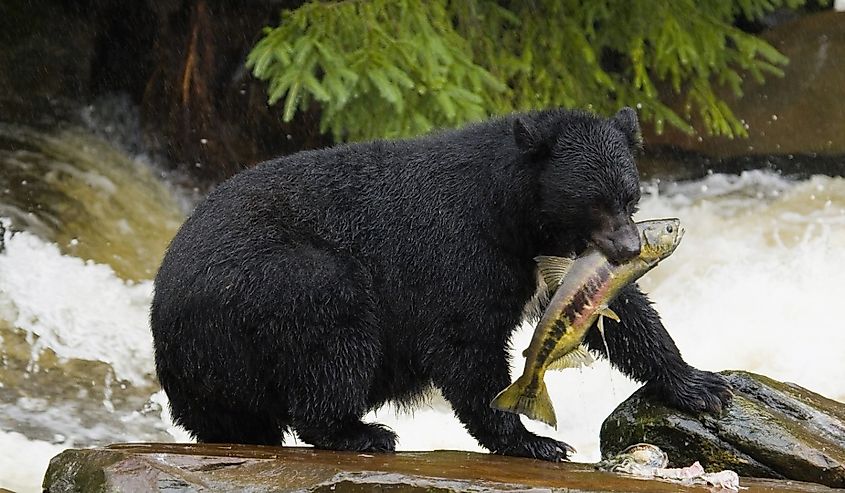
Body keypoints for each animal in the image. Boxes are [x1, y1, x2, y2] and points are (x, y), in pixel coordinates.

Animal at [152, 108, 732, 462]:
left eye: (630, 196)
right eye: (594, 200)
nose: (630, 249)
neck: (516, 214)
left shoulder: (563, 259)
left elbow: (620, 310)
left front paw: (701, 385)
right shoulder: (457, 251)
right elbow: (463, 344)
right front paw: (531, 439)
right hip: (271, 285)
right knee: (330, 324)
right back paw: (360, 431)